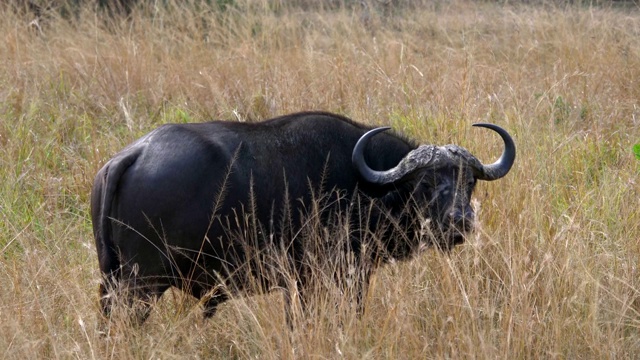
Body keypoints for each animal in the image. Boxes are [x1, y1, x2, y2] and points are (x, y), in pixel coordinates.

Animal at [92, 111, 516, 324]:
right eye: (425, 183)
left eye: (468, 182)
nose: (460, 221)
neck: (364, 184)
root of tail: (131, 155)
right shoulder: (333, 276)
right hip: (141, 284)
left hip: (113, 280)